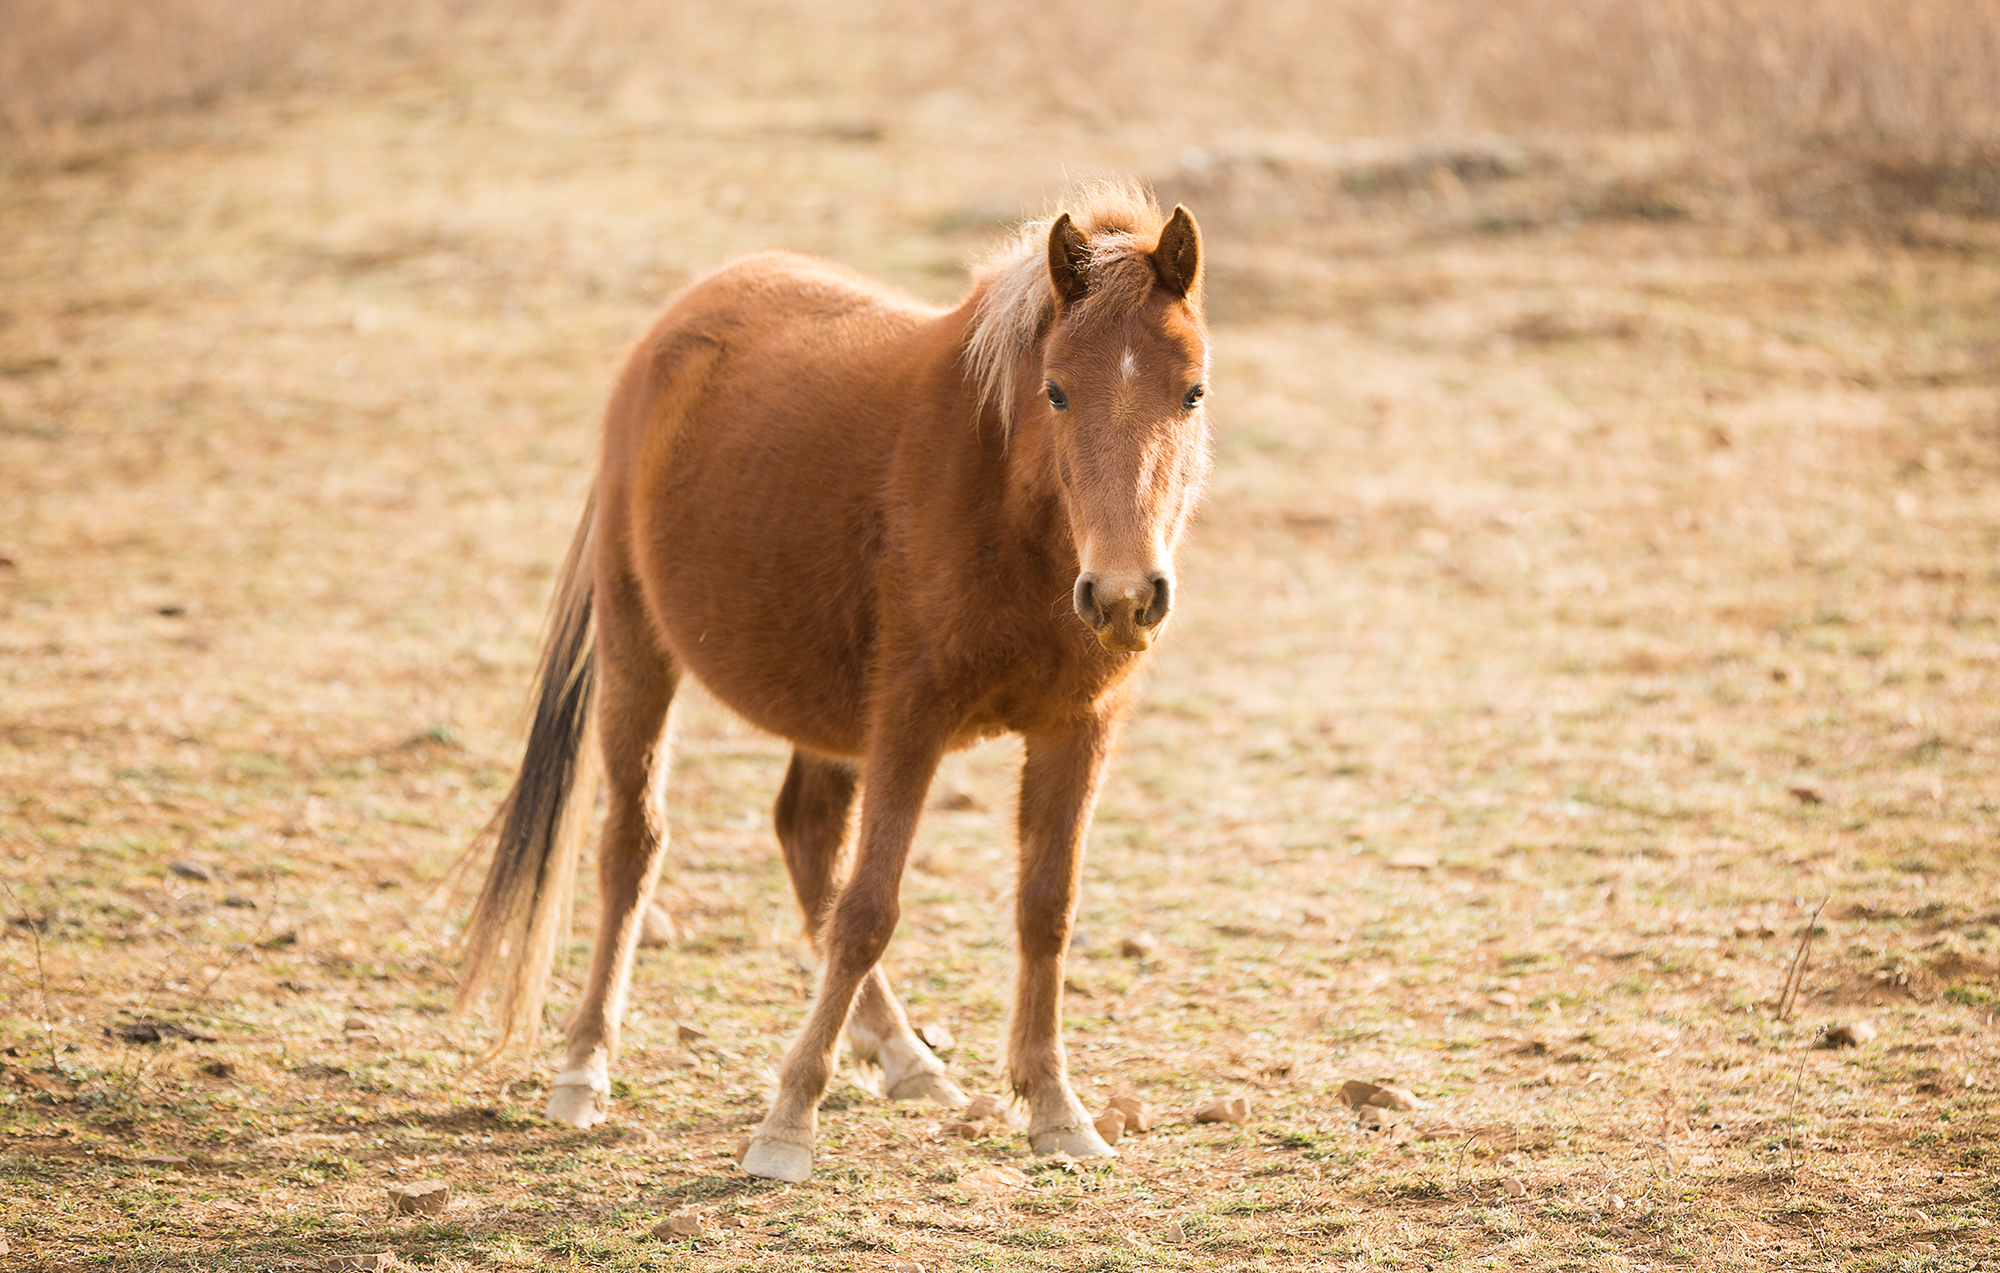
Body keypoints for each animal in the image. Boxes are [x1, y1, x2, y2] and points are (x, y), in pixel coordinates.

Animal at [464, 181, 1216, 1184]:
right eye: (1056, 390)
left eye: (1192, 391)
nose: (1126, 593)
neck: (1006, 509)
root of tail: (677, 323)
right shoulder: (910, 719)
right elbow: (869, 909)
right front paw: (788, 1122)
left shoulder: (1079, 726)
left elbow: (1045, 909)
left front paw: (1056, 1107)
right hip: (638, 652)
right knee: (634, 844)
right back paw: (584, 1066)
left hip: (825, 715)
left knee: (805, 833)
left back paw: (904, 1056)